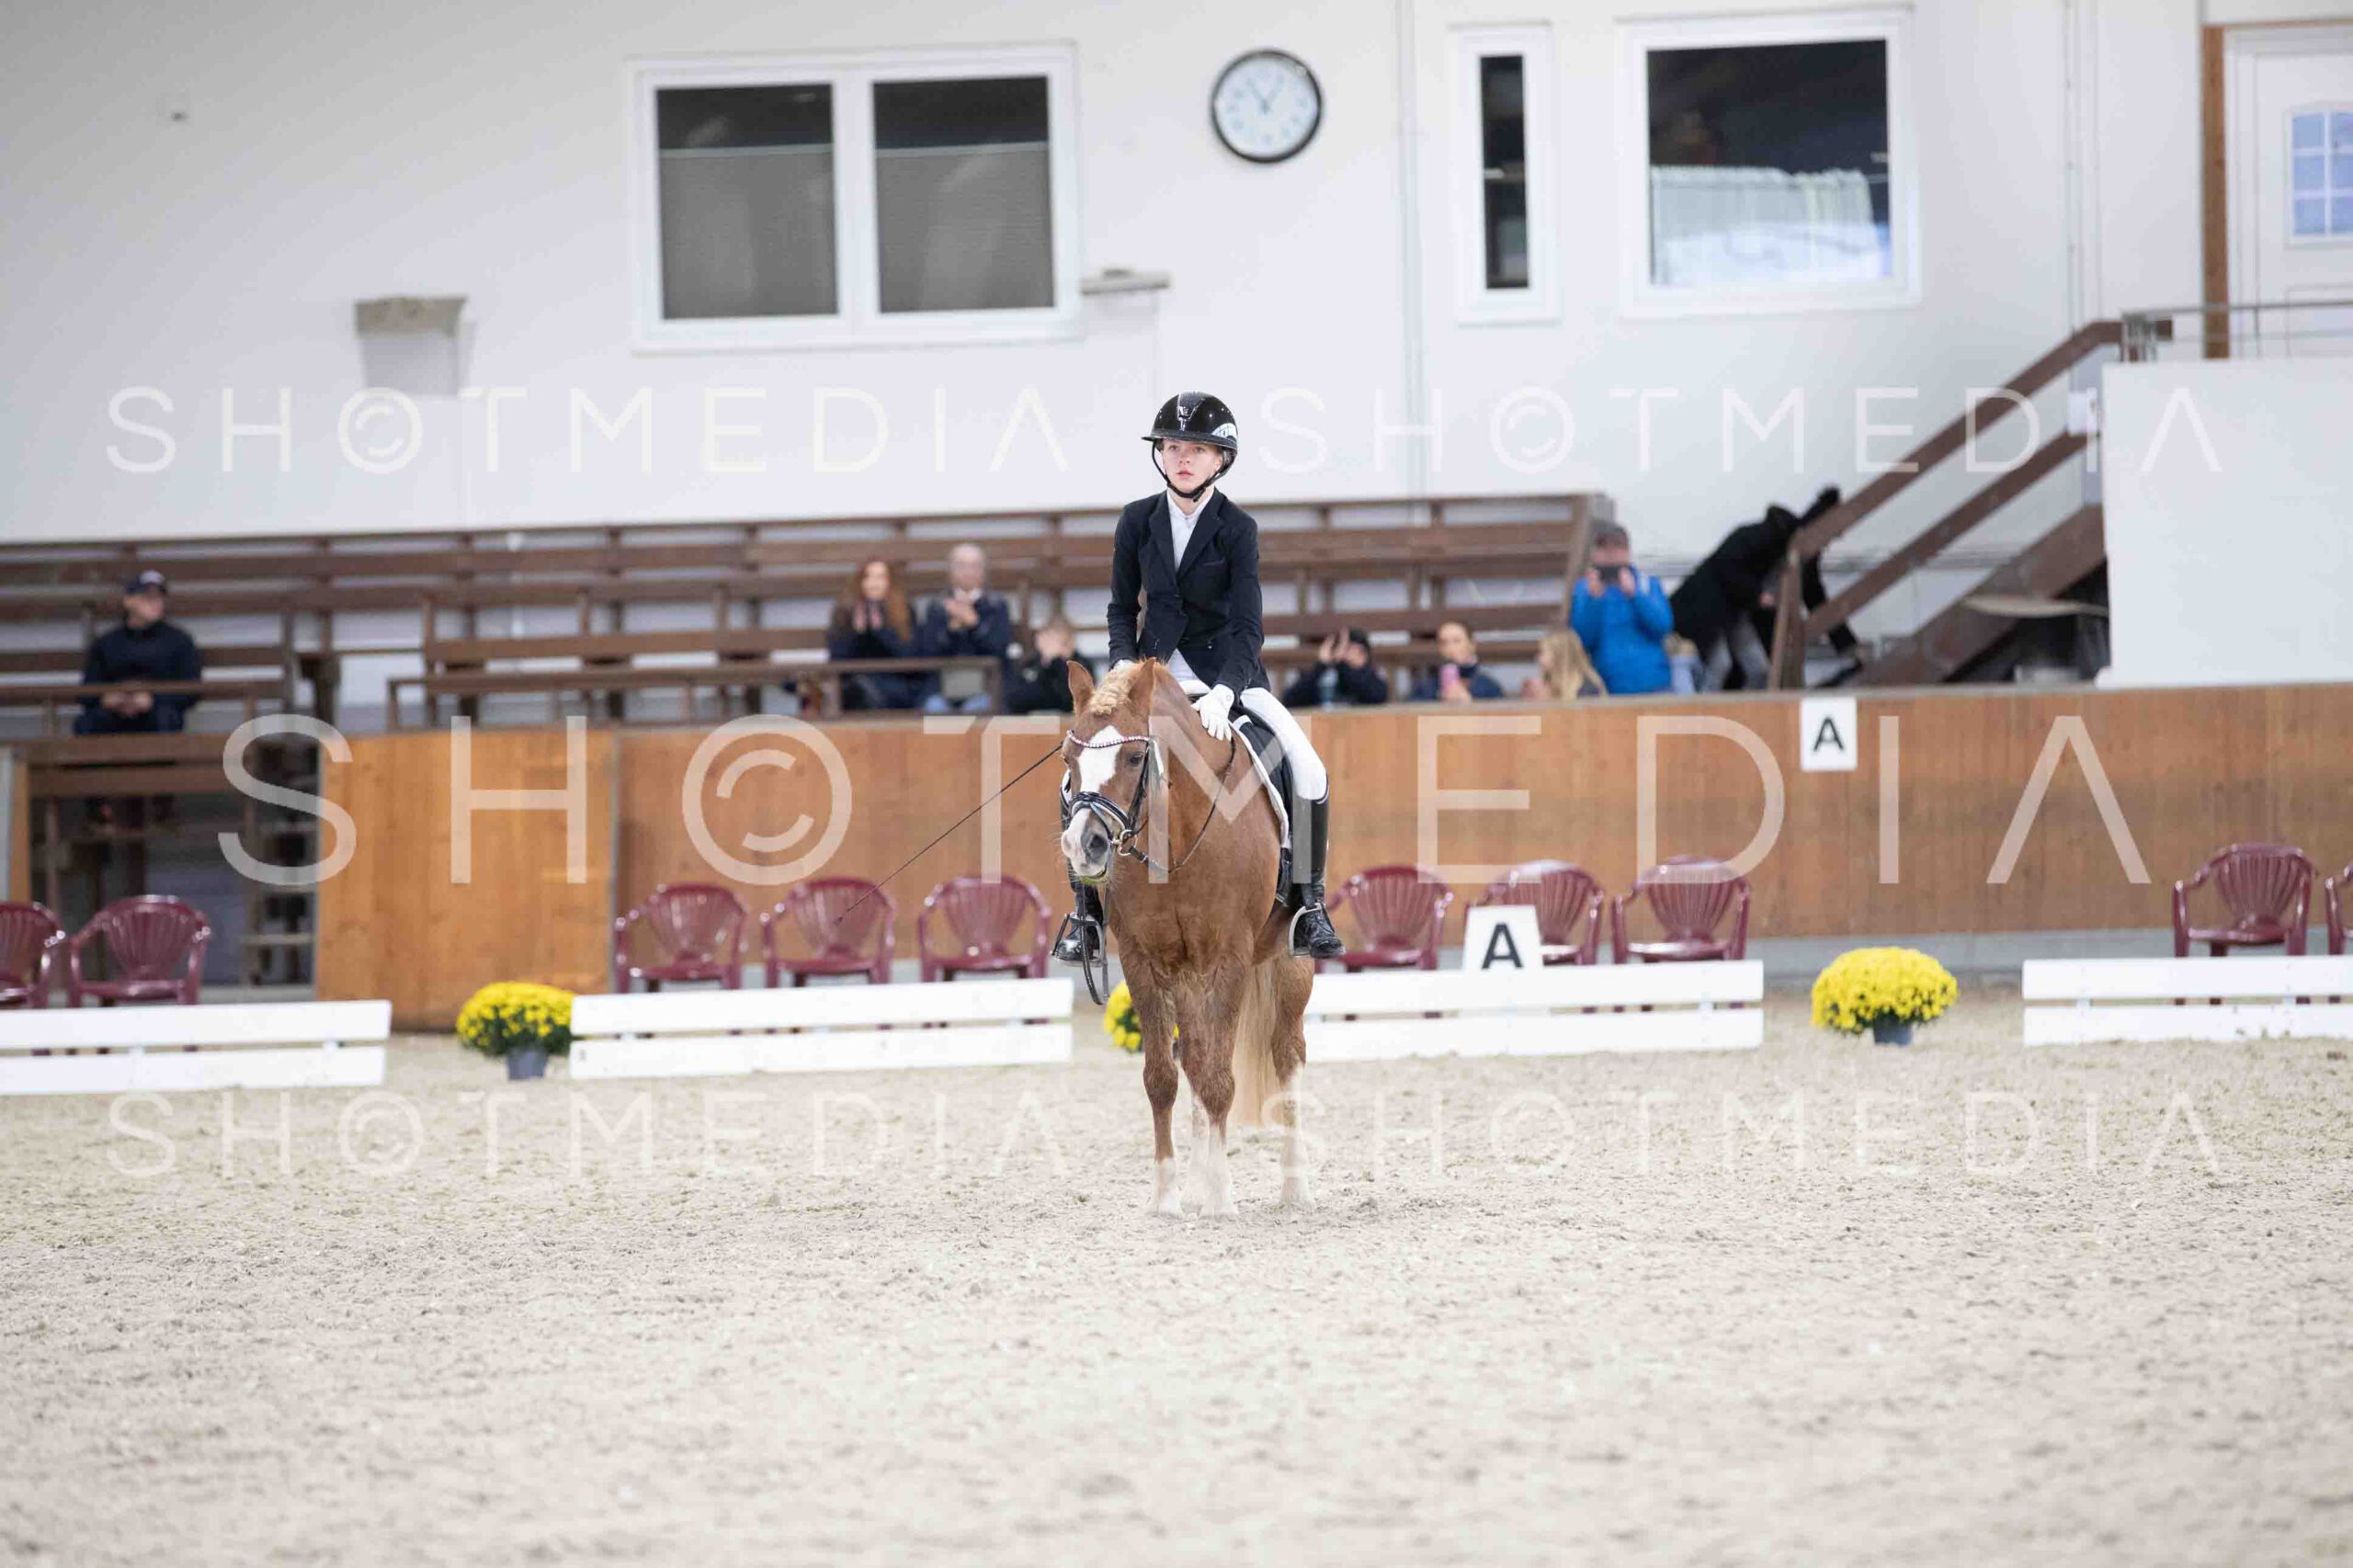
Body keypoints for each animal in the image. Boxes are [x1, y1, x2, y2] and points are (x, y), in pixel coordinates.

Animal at [1059, 658, 1315, 1216]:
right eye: (1069, 757)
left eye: (1136, 757)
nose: (1083, 846)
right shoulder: (1144, 962)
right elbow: (1162, 1079)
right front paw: (1168, 1197)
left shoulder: (1228, 958)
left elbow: (1220, 1081)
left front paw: (1220, 1201)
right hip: (1188, 975)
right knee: (1194, 1058)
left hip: (1289, 964)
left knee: (1286, 1057)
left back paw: (1294, 1188)